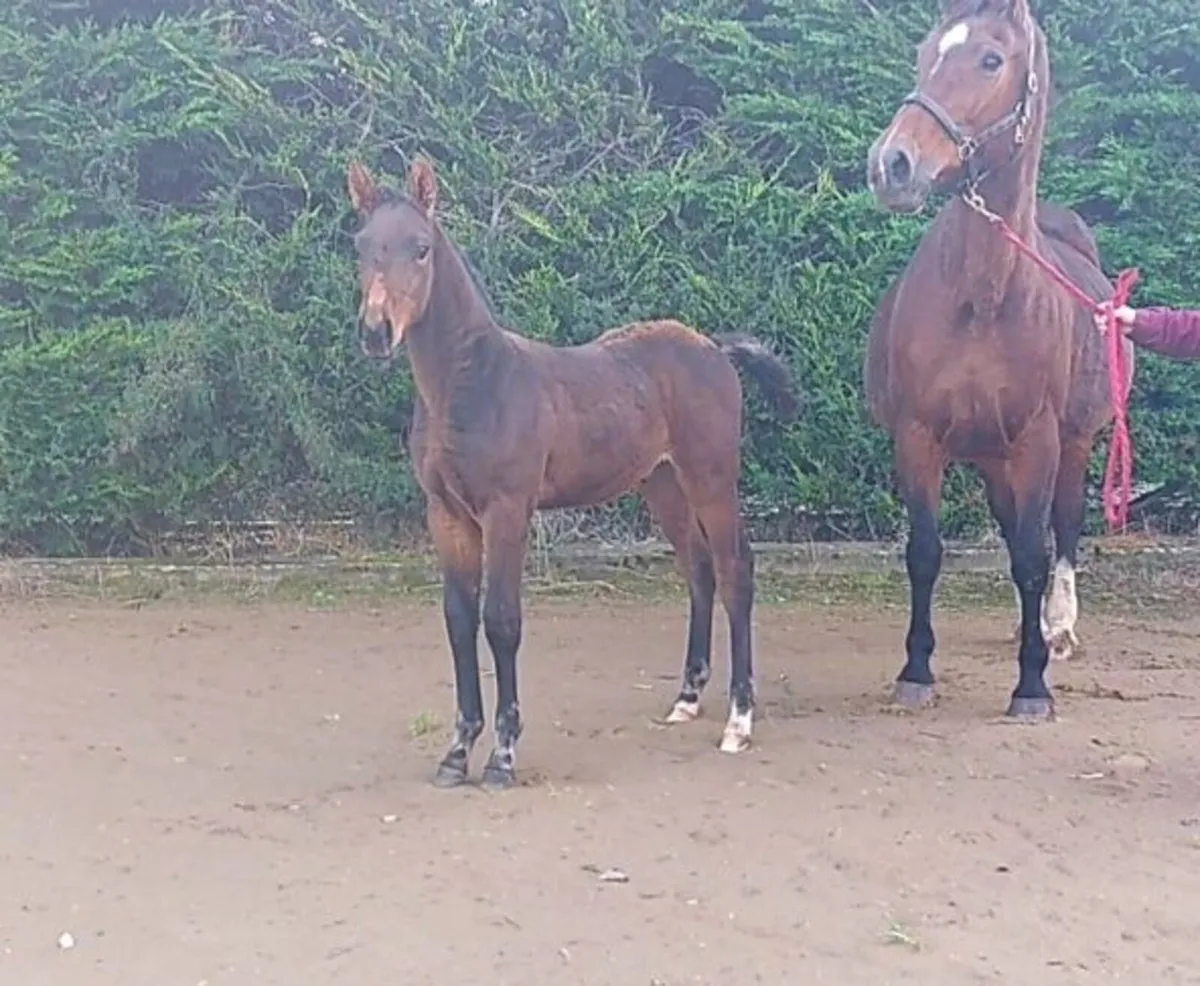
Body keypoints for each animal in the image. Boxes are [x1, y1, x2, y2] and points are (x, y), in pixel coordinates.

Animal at [345, 157, 801, 788]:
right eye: (361, 245)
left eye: (420, 248)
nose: (375, 332)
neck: (472, 385)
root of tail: (712, 347)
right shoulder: (447, 515)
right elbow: (459, 620)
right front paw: (457, 752)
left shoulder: (508, 510)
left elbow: (501, 620)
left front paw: (503, 756)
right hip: (662, 484)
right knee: (699, 570)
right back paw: (686, 698)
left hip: (710, 477)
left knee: (736, 572)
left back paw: (738, 720)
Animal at [863, 0, 1133, 718]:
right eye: (924, 53)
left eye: (991, 59)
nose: (892, 164)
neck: (982, 296)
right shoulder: (919, 436)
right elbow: (926, 552)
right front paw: (915, 672)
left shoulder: (1039, 439)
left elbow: (1036, 553)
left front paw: (1032, 684)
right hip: (990, 457)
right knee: (1016, 530)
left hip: (1074, 443)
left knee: (1060, 530)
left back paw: (1056, 627)